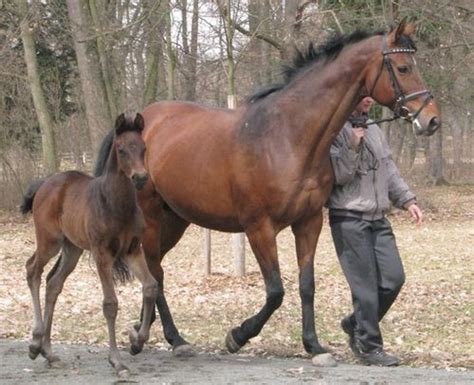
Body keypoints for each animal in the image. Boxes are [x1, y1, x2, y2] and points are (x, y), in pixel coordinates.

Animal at [102, 20, 442, 364]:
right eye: (403, 67)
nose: (431, 119)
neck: (287, 137)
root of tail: (140, 122)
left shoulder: (308, 223)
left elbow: (307, 285)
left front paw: (313, 344)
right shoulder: (259, 228)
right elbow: (276, 291)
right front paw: (237, 336)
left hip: (174, 220)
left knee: (154, 272)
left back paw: (153, 333)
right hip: (152, 220)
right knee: (156, 275)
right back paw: (166, 338)